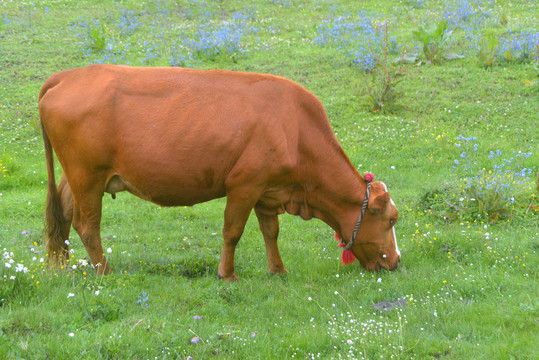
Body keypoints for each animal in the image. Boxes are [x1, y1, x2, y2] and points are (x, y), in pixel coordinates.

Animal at [39, 64, 400, 280]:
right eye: (392, 220)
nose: (396, 261)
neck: (295, 129)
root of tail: (70, 75)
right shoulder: (244, 184)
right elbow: (233, 231)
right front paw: (227, 274)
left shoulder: (268, 190)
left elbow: (271, 231)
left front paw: (278, 269)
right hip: (87, 175)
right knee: (87, 225)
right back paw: (105, 271)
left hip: (78, 177)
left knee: (62, 217)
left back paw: (59, 267)